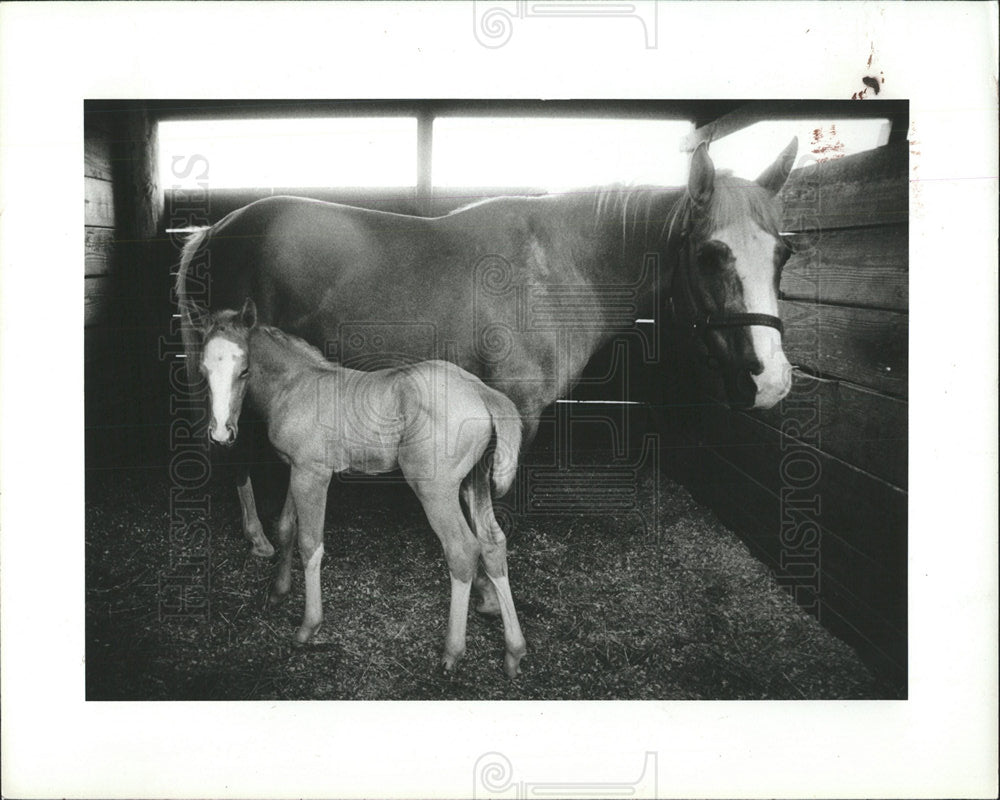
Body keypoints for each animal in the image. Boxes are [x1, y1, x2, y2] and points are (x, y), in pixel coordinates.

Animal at [176, 136, 792, 564]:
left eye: (783, 254)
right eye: (711, 255)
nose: (770, 380)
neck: (558, 270)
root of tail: (215, 230)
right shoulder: (515, 407)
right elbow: (488, 493)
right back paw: (259, 538)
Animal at [192, 300, 528, 676]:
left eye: (245, 370)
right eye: (203, 371)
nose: (222, 433)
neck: (296, 386)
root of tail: (482, 391)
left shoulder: (313, 474)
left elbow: (310, 544)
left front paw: (308, 627)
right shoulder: (297, 469)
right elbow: (286, 528)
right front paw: (278, 592)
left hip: (436, 490)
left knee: (462, 550)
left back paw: (452, 652)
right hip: (475, 481)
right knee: (493, 543)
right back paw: (514, 652)